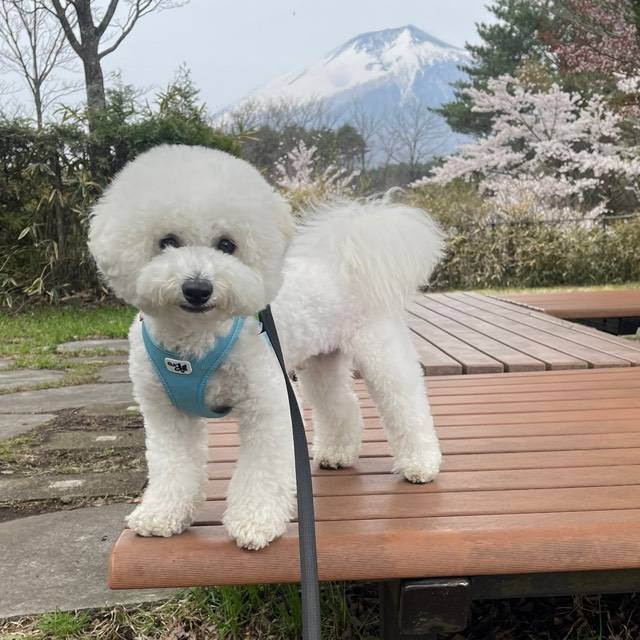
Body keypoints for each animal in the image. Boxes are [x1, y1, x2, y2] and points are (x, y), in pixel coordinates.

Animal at [88, 144, 444, 550]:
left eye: (227, 245)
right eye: (167, 241)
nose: (198, 288)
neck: (195, 341)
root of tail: (345, 258)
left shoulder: (268, 404)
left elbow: (261, 470)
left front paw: (255, 523)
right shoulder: (166, 415)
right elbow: (172, 467)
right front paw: (161, 515)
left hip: (380, 352)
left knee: (405, 402)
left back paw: (421, 464)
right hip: (321, 362)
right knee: (340, 404)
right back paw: (338, 454)